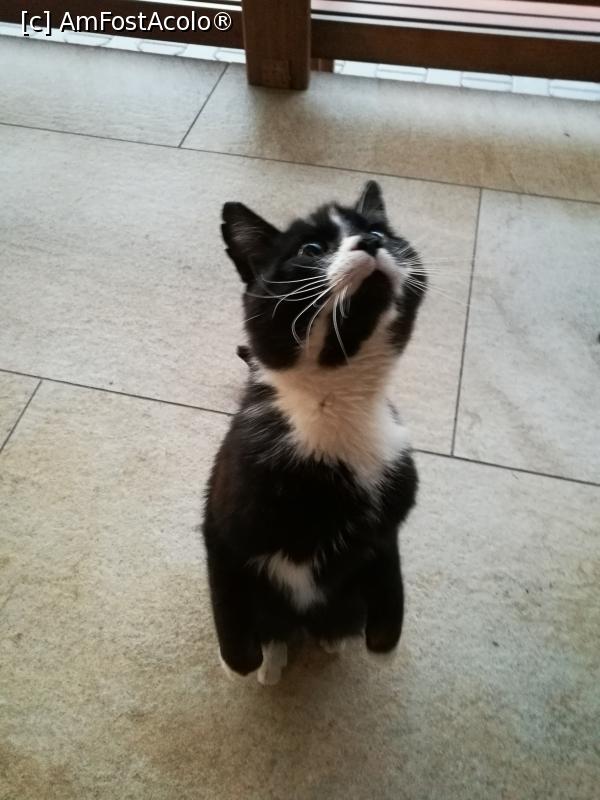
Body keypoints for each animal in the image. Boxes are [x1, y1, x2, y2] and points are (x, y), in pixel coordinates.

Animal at [202, 181, 427, 685]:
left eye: (381, 231)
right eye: (310, 250)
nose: (371, 242)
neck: (334, 405)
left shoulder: (387, 519)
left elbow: (390, 591)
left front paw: (382, 645)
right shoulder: (223, 524)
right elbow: (229, 603)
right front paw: (239, 663)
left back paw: (330, 638)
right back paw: (274, 659)